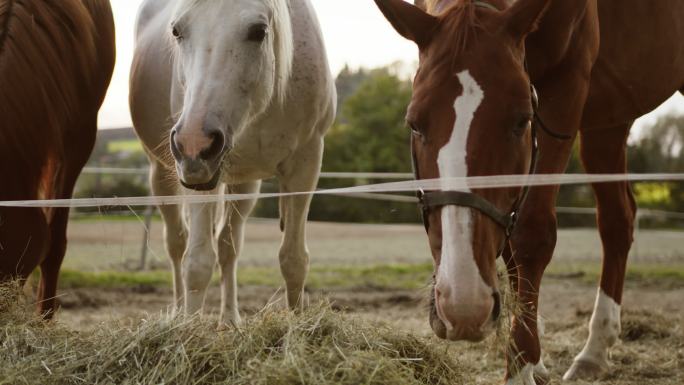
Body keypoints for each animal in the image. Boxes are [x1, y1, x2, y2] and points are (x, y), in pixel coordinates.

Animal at [130, 0, 336, 326]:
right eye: (176, 31)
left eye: (259, 31)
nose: (194, 143)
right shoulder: (196, 175)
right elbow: (197, 263)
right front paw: (188, 330)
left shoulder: (306, 162)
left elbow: (293, 259)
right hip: (162, 174)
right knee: (176, 243)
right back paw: (177, 314)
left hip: (245, 183)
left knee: (228, 247)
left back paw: (229, 319)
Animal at [376, 0, 684, 382]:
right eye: (414, 124)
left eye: (522, 120)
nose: (463, 304)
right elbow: (510, 248)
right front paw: (533, 359)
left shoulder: (565, 87)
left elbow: (532, 234)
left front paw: (520, 364)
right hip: (609, 120)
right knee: (618, 219)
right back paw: (595, 351)